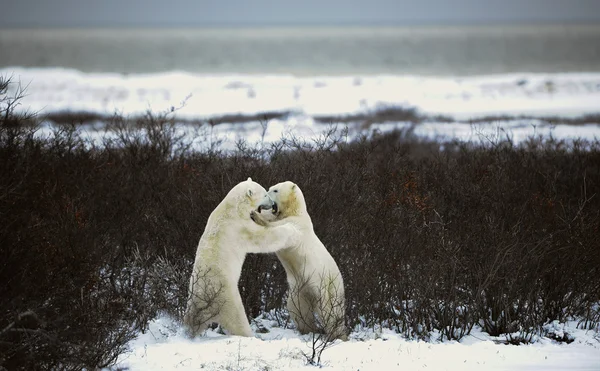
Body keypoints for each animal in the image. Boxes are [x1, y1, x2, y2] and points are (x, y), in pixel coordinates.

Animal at [183, 179, 302, 338]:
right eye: (265, 194)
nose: (272, 204)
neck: (233, 207)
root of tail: (203, 298)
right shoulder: (240, 227)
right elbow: (262, 238)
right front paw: (290, 229)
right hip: (228, 299)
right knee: (238, 321)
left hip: (192, 304)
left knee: (191, 321)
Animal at [252, 182, 346, 342]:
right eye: (270, 188)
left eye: (275, 190)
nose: (265, 198)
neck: (295, 211)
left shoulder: (298, 225)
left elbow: (281, 229)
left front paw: (255, 215)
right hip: (299, 290)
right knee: (298, 310)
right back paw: (308, 329)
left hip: (327, 286)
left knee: (330, 311)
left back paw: (336, 335)